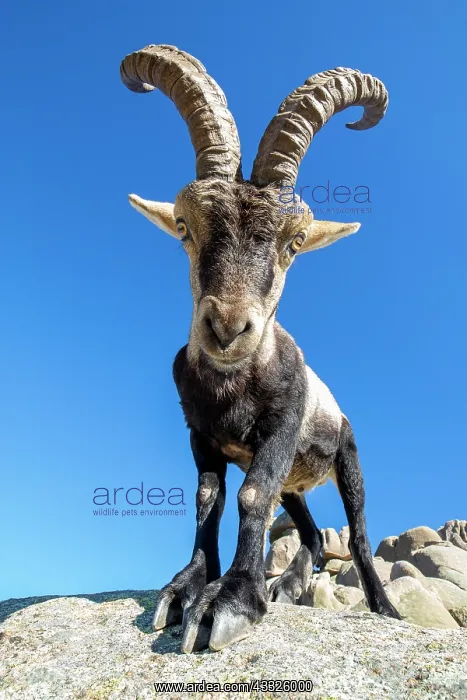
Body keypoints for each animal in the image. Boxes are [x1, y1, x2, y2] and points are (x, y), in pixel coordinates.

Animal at [120, 44, 401, 653]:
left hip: (347, 452)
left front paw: (231, 600)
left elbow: (253, 495)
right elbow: (210, 497)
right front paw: (186, 587)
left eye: (294, 241)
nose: (227, 329)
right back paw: (289, 586)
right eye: (184, 226)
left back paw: (383, 607)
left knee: (357, 533)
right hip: (301, 486)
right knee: (313, 534)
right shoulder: (200, 433)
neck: (233, 388)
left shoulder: (281, 426)